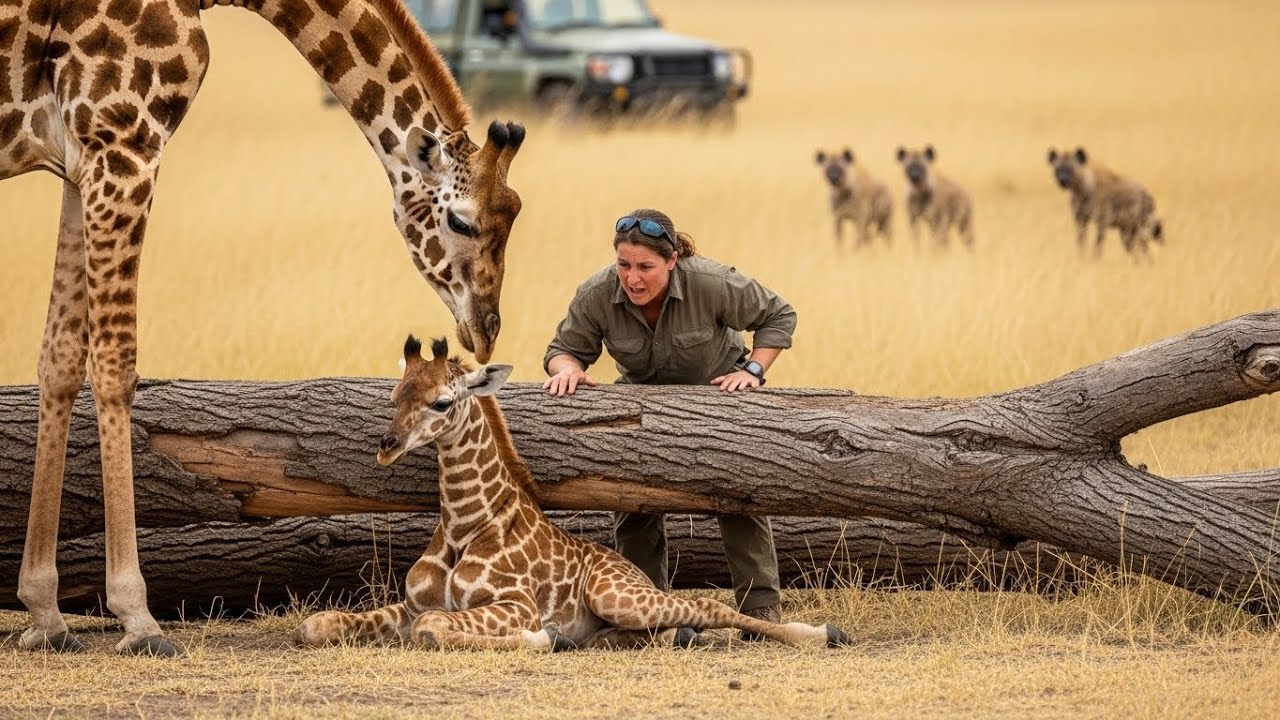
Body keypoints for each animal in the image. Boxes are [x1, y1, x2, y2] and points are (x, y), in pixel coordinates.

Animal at [2, 0, 526, 656]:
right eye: (461, 220)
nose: (486, 328)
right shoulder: (123, 145)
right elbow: (117, 363)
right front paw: (137, 617)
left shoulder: (80, 162)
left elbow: (61, 359)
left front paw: (44, 613)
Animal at [297, 336, 852, 651]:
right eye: (395, 395)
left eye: (441, 402)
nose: (387, 447)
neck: (463, 521)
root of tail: (628, 570)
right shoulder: (410, 604)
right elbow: (318, 624)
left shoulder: (515, 604)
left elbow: (433, 628)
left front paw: (545, 638)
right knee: (666, 626)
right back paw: (670, 637)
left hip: (615, 594)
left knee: (705, 606)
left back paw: (822, 633)